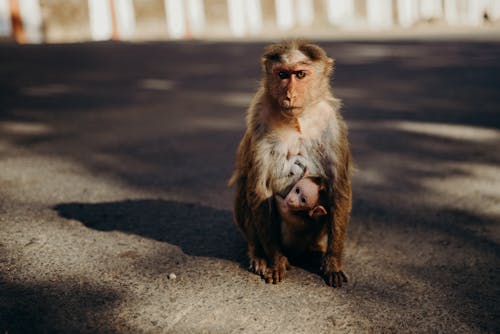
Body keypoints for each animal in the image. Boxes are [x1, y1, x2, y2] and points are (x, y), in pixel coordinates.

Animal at [229, 39, 354, 288]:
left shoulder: (332, 122)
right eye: (282, 75)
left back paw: (315, 249)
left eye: (300, 74)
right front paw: (276, 260)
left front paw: (333, 262)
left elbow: (338, 186)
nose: (290, 95)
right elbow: (259, 190)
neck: (297, 119)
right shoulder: (260, 117)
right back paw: (258, 254)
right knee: (247, 188)